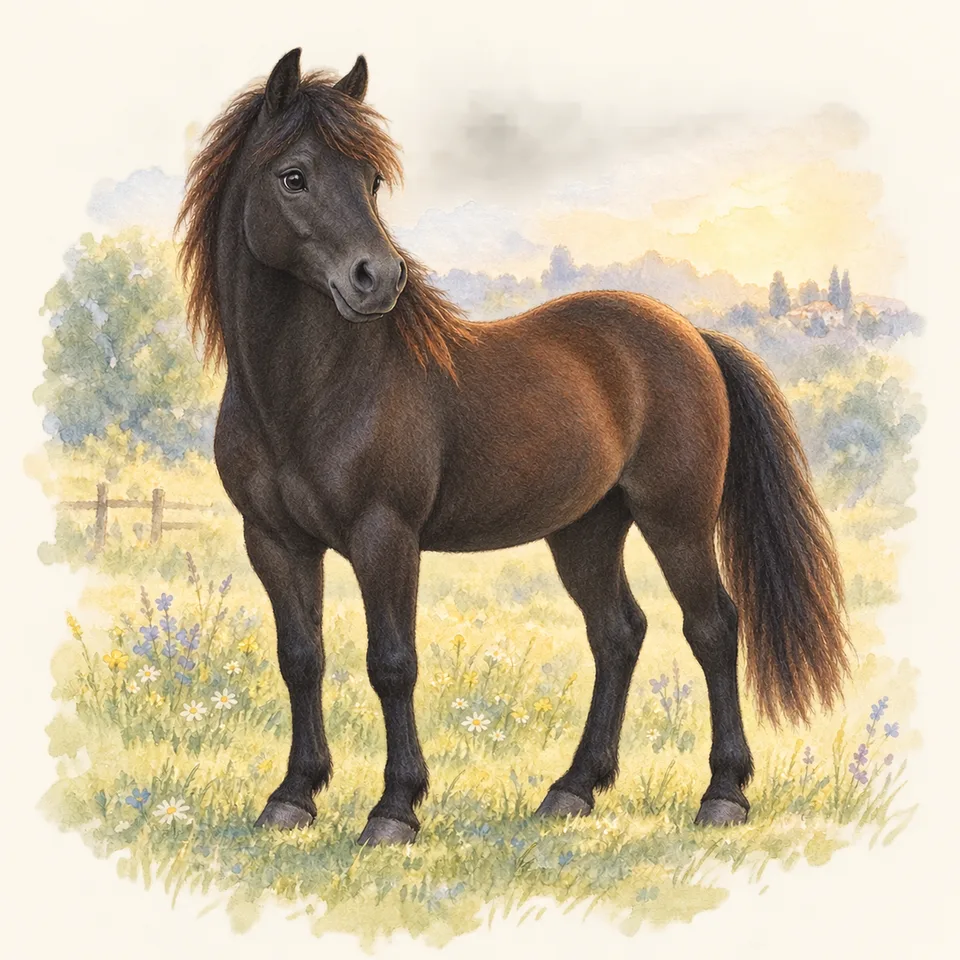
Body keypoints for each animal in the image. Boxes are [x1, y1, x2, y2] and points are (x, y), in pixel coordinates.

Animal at [176, 48, 850, 846]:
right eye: (293, 176)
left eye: (371, 180)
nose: (378, 279)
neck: (310, 392)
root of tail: (692, 335)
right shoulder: (274, 541)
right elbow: (301, 659)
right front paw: (292, 797)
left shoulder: (384, 536)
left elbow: (392, 663)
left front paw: (394, 809)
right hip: (587, 529)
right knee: (618, 633)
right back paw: (573, 789)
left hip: (675, 522)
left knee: (712, 627)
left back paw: (723, 794)